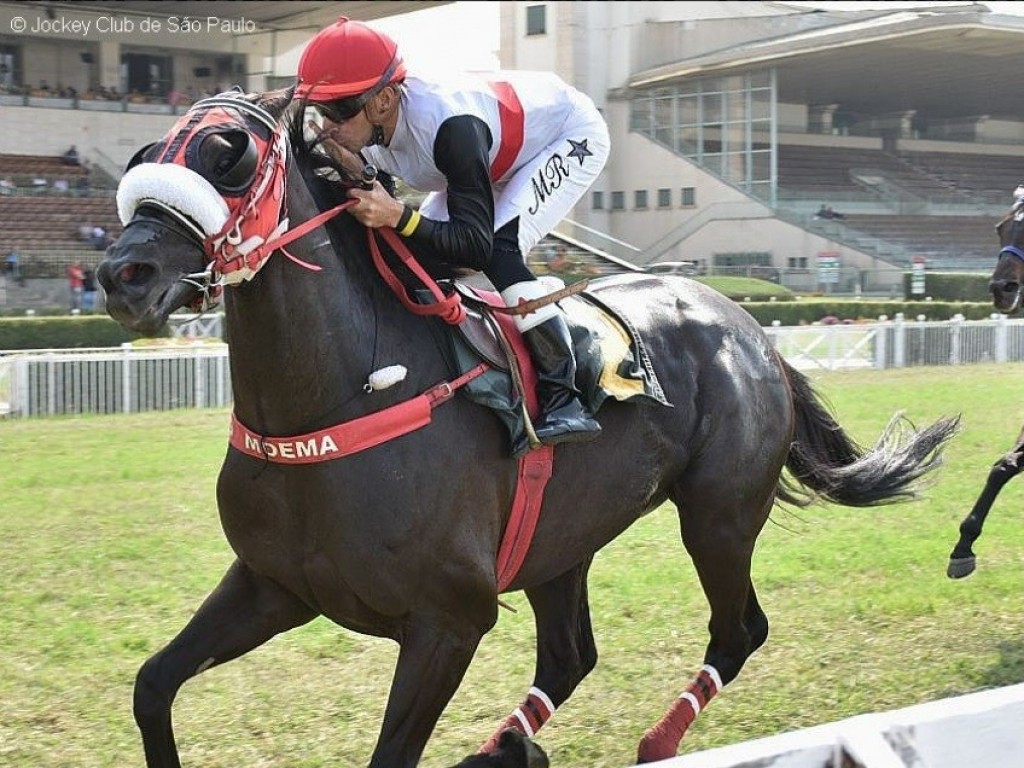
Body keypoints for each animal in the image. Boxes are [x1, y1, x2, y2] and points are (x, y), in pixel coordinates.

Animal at [96, 91, 958, 768]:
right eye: (141, 158)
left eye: (230, 155)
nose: (120, 275)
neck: (339, 397)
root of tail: (751, 328)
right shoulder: (273, 585)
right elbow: (151, 686)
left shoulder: (449, 621)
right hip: (560, 540)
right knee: (572, 655)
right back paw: (508, 744)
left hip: (718, 515)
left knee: (738, 631)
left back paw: (651, 741)